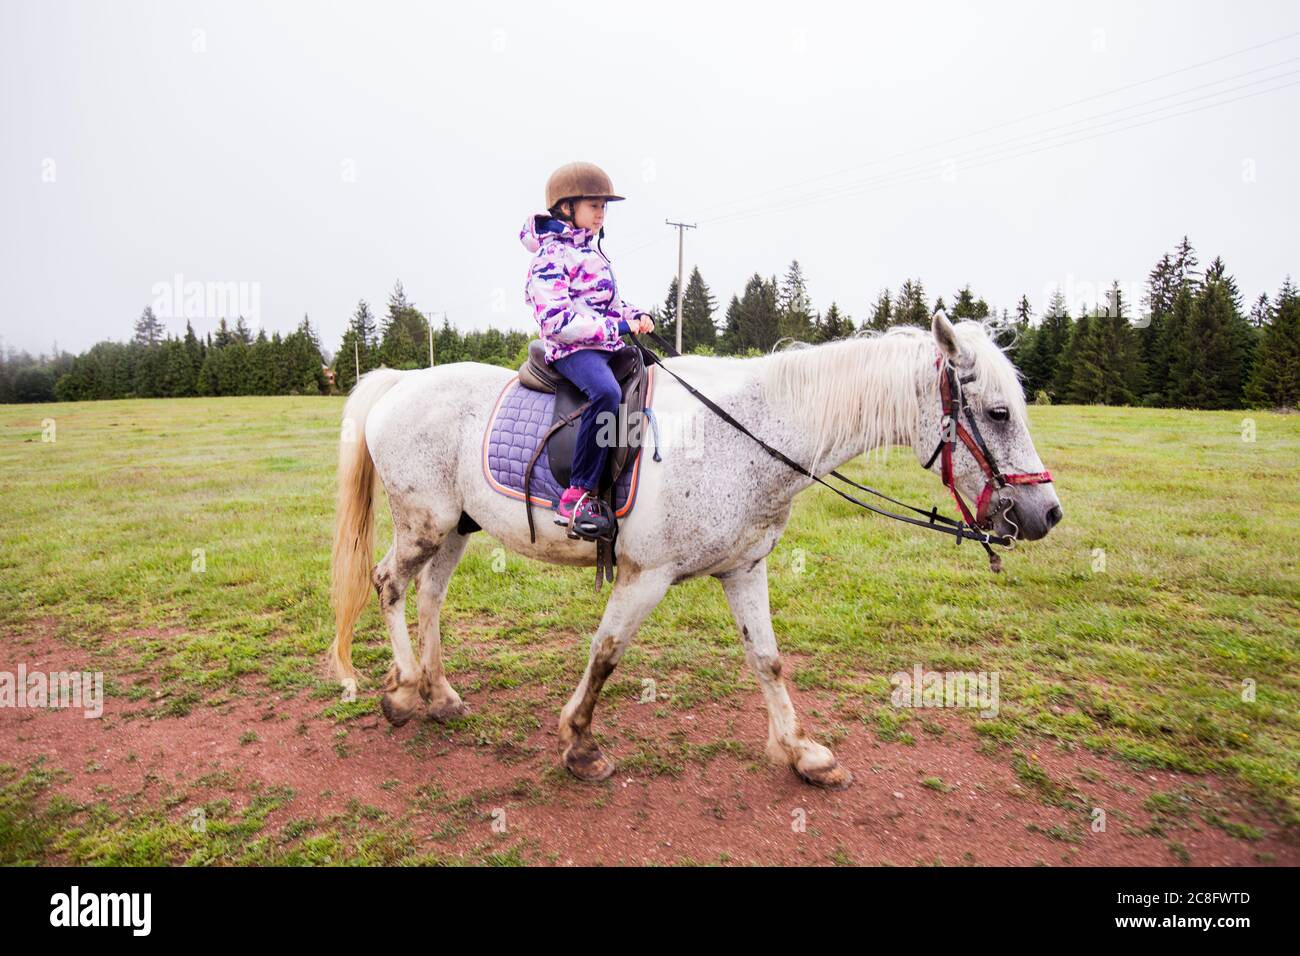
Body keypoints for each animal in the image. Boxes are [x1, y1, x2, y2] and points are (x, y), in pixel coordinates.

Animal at [325, 310, 1055, 790]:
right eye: (997, 413)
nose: (1046, 514)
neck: (748, 436)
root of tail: (398, 383)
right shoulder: (645, 576)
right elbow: (606, 654)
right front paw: (579, 745)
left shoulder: (744, 570)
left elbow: (768, 661)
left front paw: (801, 752)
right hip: (424, 523)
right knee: (390, 584)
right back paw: (404, 692)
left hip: (455, 526)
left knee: (429, 595)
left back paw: (439, 693)